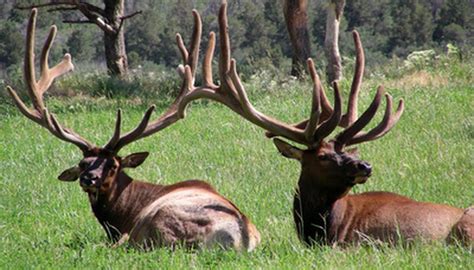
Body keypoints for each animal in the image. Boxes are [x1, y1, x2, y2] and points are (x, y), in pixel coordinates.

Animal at [6, 9, 260, 252]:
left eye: (113, 165)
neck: (122, 214)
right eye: (82, 163)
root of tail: (240, 239)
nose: (89, 178)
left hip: (158, 222)